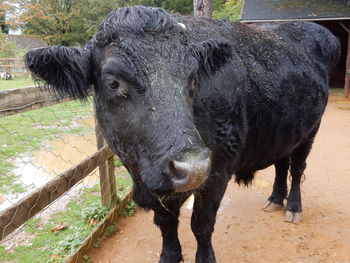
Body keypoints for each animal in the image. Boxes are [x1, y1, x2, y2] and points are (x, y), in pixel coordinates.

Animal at [23, 6, 340, 263]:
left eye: (192, 78)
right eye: (113, 83)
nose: (193, 166)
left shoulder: (217, 171)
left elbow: (201, 223)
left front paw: (205, 257)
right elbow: (165, 222)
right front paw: (169, 255)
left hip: (312, 130)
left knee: (297, 169)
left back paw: (293, 206)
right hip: (285, 130)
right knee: (281, 164)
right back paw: (275, 199)